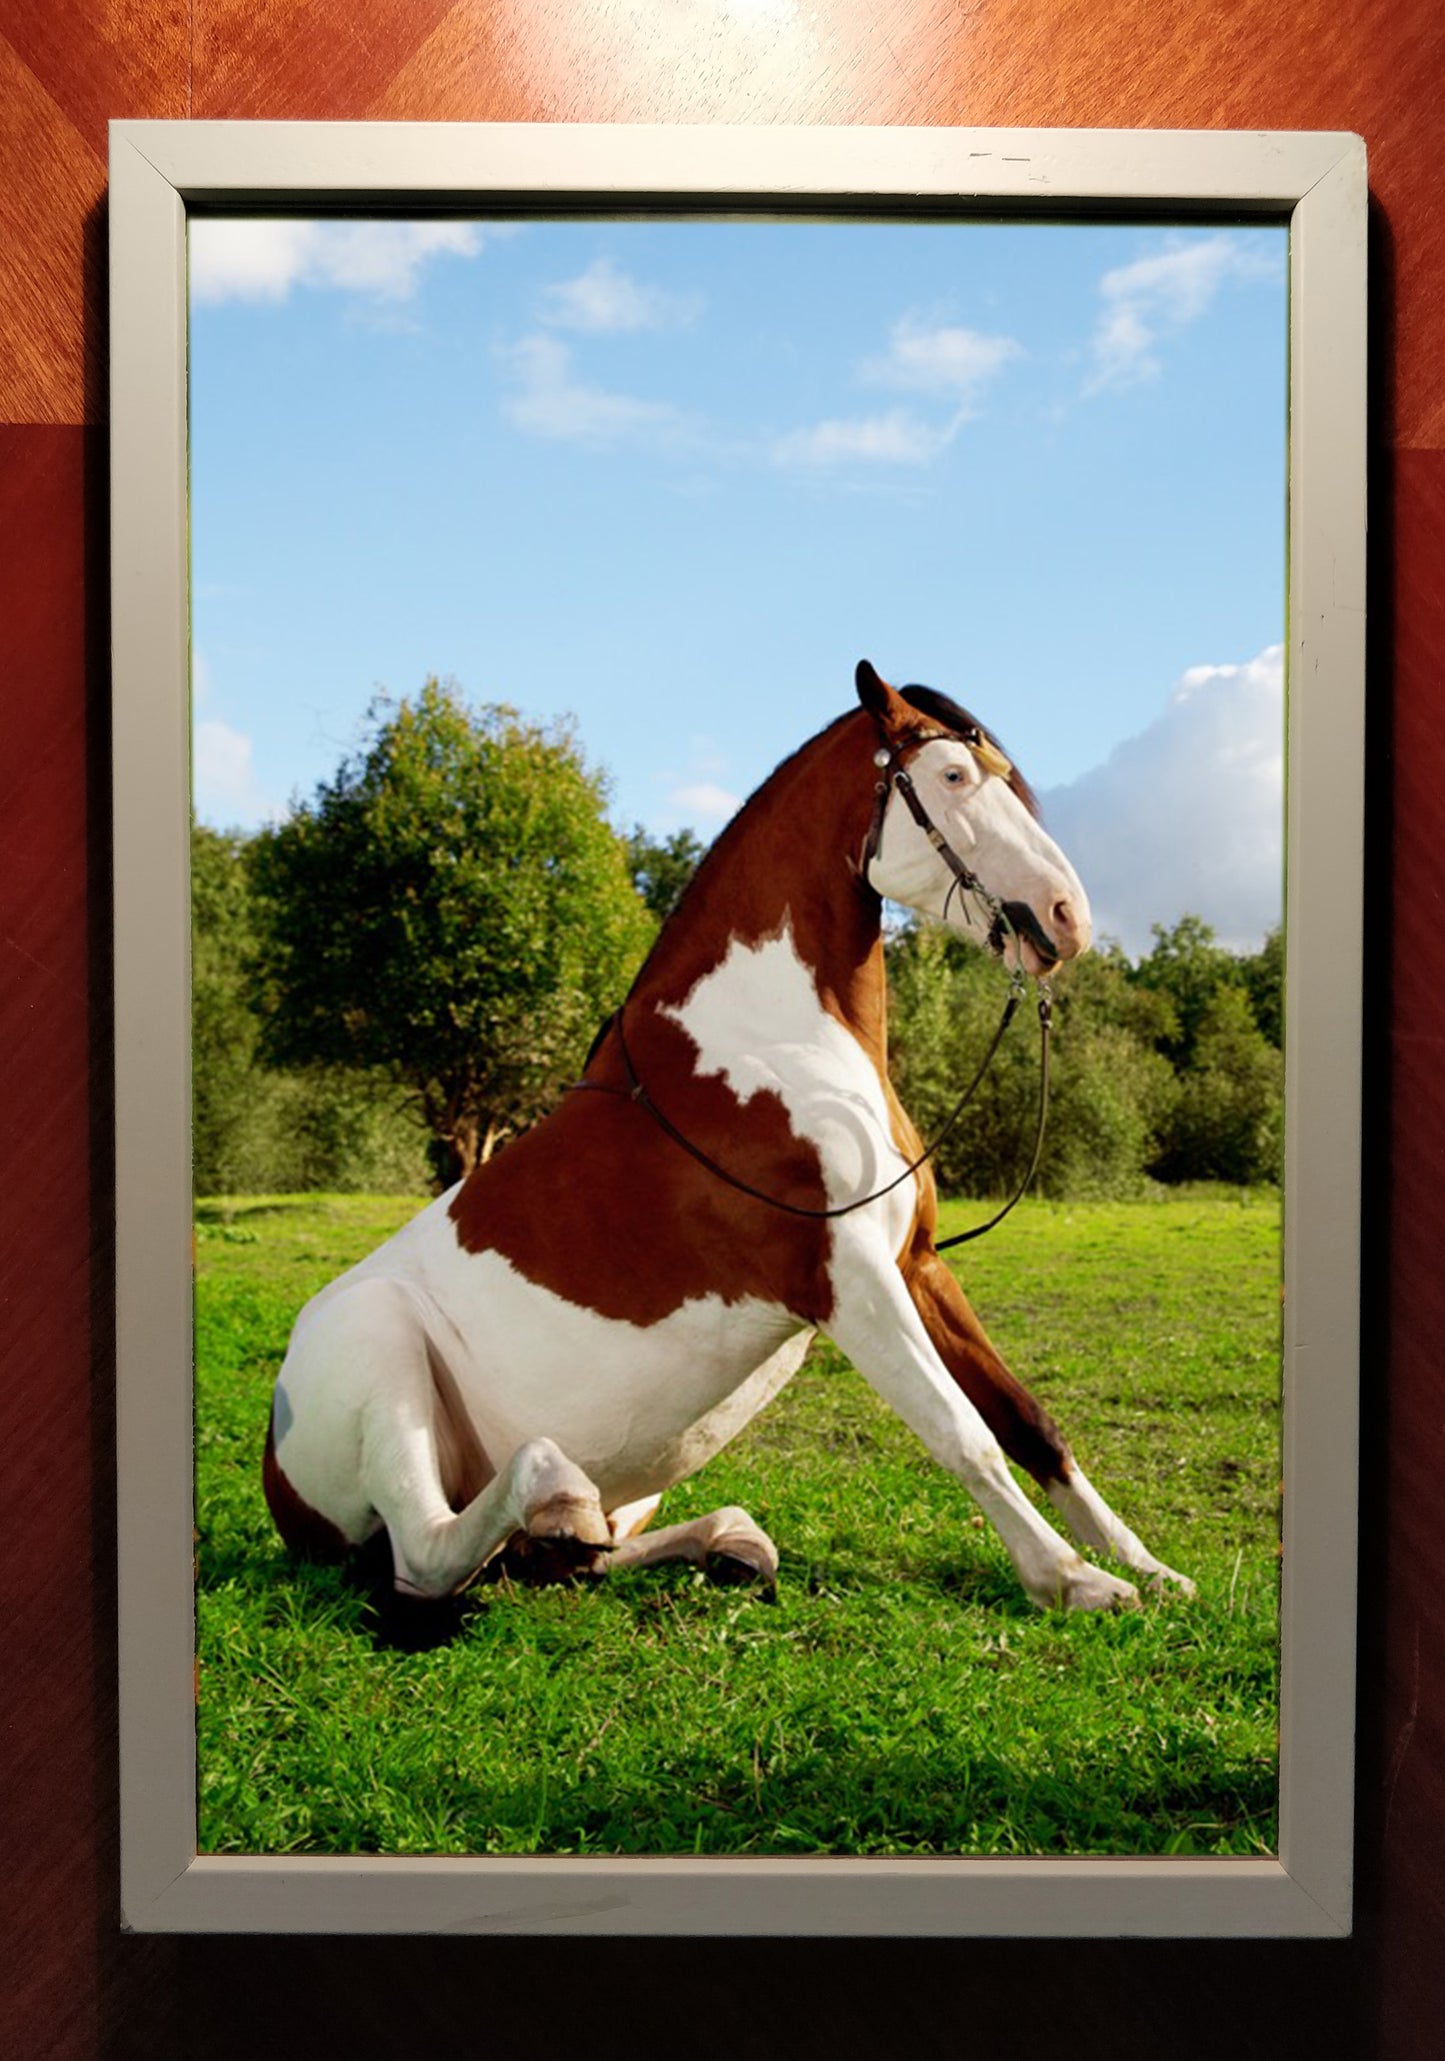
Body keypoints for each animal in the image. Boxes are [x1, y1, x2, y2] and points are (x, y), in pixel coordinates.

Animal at [263, 660, 1193, 1614]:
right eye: (952, 776)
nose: (1066, 916)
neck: (769, 1042)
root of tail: (279, 1480)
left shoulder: (917, 1264)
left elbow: (1029, 1423)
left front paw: (1148, 1567)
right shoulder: (851, 1284)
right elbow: (961, 1431)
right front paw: (1074, 1580)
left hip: (635, 1482)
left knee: (572, 1558)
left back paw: (724, 1540)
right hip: (379, 1350)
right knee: (430, 1553)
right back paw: (557, 1492)